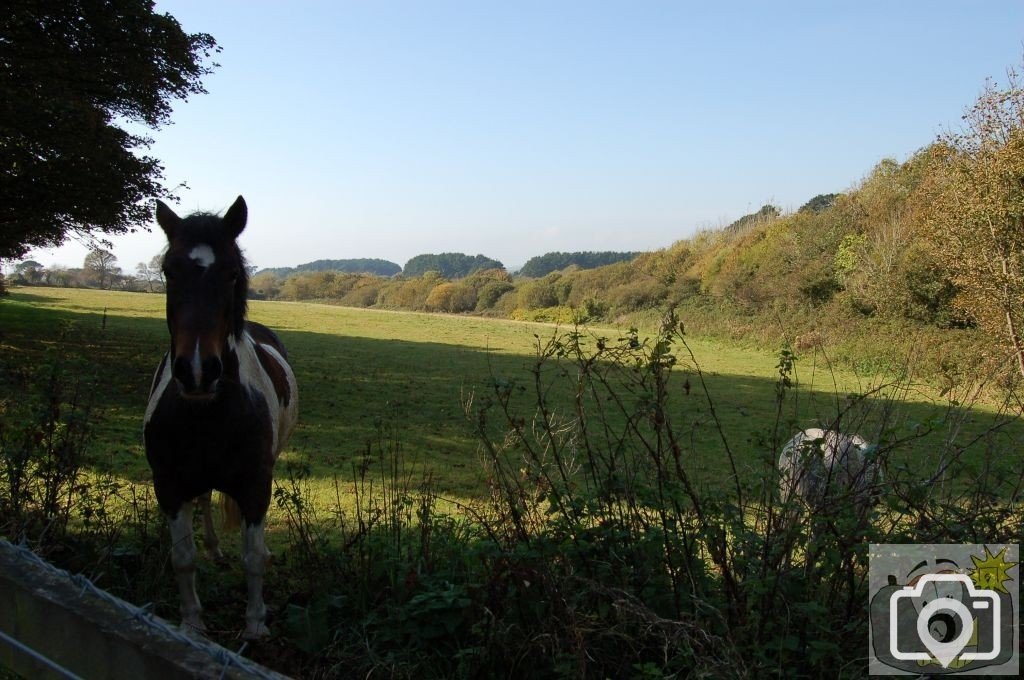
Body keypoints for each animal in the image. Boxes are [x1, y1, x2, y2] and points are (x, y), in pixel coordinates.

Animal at [144, 195, 299, 639]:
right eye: (169, 270)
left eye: (231, 273)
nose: (198, 370)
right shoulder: (169, 485)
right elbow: (182, 558)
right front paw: (191, 622)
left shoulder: (256, 485)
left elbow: (252, 558)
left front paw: (255, 624)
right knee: (205, 500)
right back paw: (213, 548)